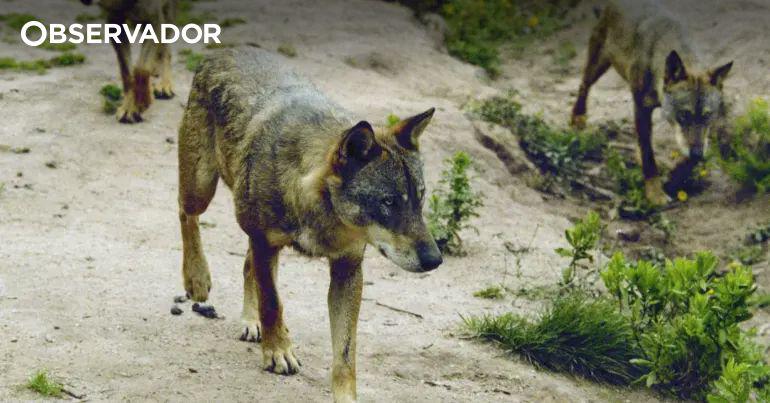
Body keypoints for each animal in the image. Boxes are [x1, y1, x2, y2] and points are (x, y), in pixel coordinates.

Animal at [177, 48, 443, 402]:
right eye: (388, 202)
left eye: (420, 198)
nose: (435, 260)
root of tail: (224, 50)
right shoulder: (265, 243)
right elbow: (273, 302)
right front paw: (278, 351)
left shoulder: (347, 269)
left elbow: (345, 353)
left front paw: (345, 397)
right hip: (201, 187)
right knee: (186, 214)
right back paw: (197, 278)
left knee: (247, 266)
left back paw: (251, 321)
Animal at [570, 0, 732, 205]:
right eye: (684, 114)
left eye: (708, 115)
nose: (697, 153)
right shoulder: (641, 108)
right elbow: (649, 157)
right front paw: (655, 195)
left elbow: (688, 155)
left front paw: (675, 179)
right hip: (598, 64)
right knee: (583, 85)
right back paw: (577, 119)